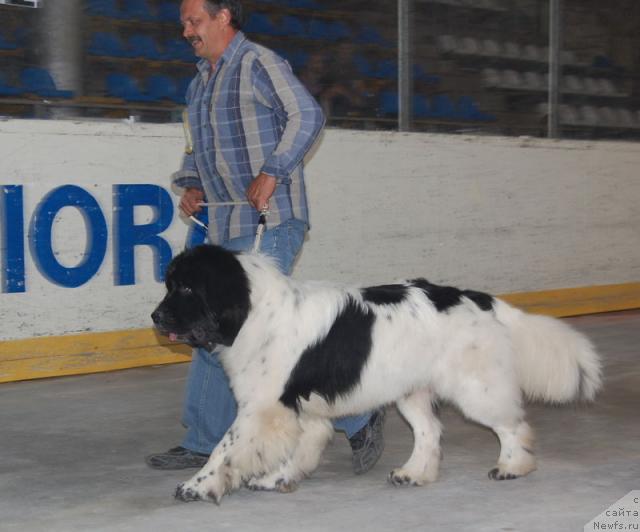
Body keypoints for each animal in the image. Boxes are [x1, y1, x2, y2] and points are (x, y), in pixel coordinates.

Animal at [152, 244, 604, 502]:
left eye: (187, 288)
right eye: (170, 284)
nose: (155, 317)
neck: (253, 312)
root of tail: (476, 297)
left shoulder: (262, 406)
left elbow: (225, 449)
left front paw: (198, 485)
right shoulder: (301, 408)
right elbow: (298, 448)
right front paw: (278, 479)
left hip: (475, 387)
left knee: (512, 426)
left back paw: (512, 467)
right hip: (411, 389)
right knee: (429, 432)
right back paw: (414, 474)